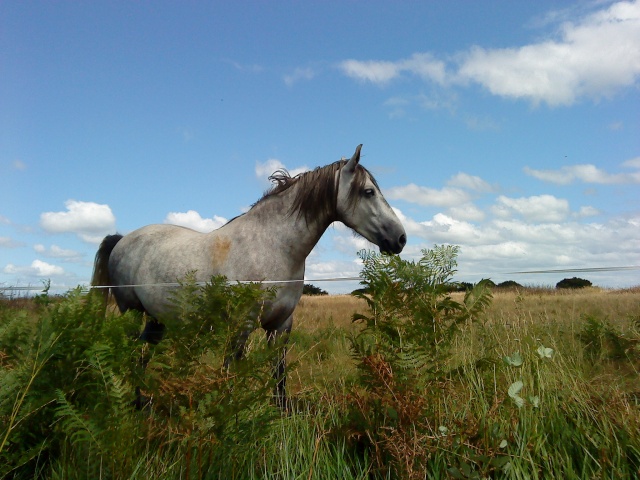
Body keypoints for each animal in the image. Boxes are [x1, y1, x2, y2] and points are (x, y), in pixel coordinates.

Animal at [91, 143, 404, 408]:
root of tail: (122, 240)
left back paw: (141, 401)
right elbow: (230, 372)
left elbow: (279, 376)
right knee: (131, 354)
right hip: (131, 312)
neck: (273, 246)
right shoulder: (240, 325)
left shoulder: (281, 325)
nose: (400, 238)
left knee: (142, 355)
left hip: (157, 320)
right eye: (368, 192)